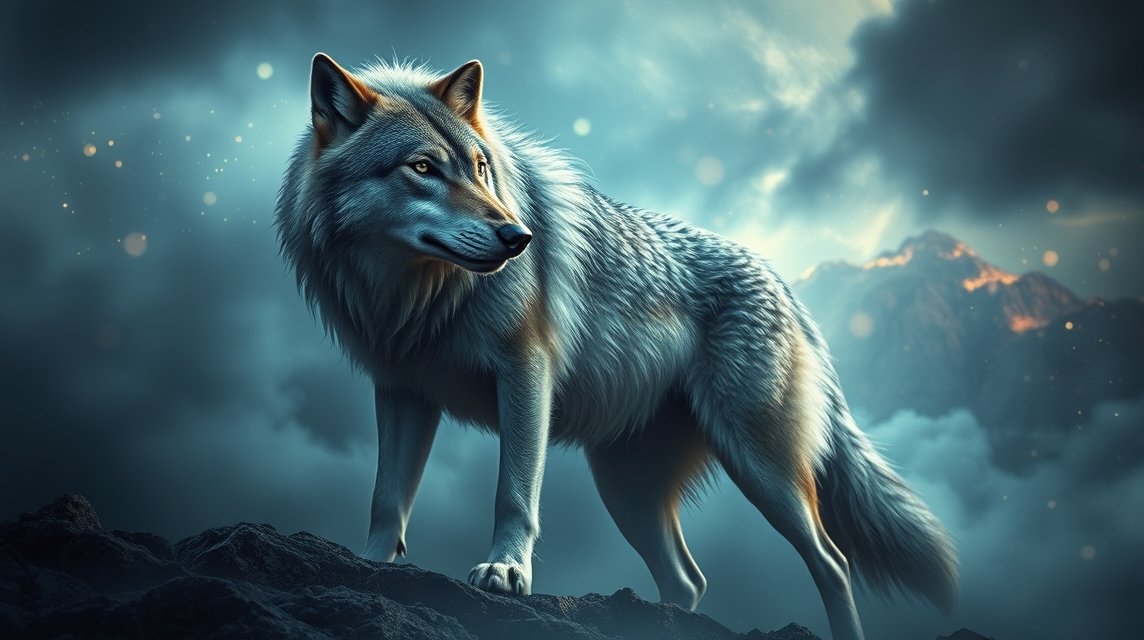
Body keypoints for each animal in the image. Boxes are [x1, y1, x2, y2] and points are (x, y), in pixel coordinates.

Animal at [275, 53, 958, 640]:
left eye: (479, 167)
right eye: (422, 168)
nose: (519, 236)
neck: (420, 297)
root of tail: (784, 284)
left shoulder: (525, 373)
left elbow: (513, 494)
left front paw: (506, 572)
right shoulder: (403, 389)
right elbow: (386, 498)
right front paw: (370, 565)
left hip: (761, 469)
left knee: (832, 563)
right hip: (627, 489)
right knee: (689, 581)